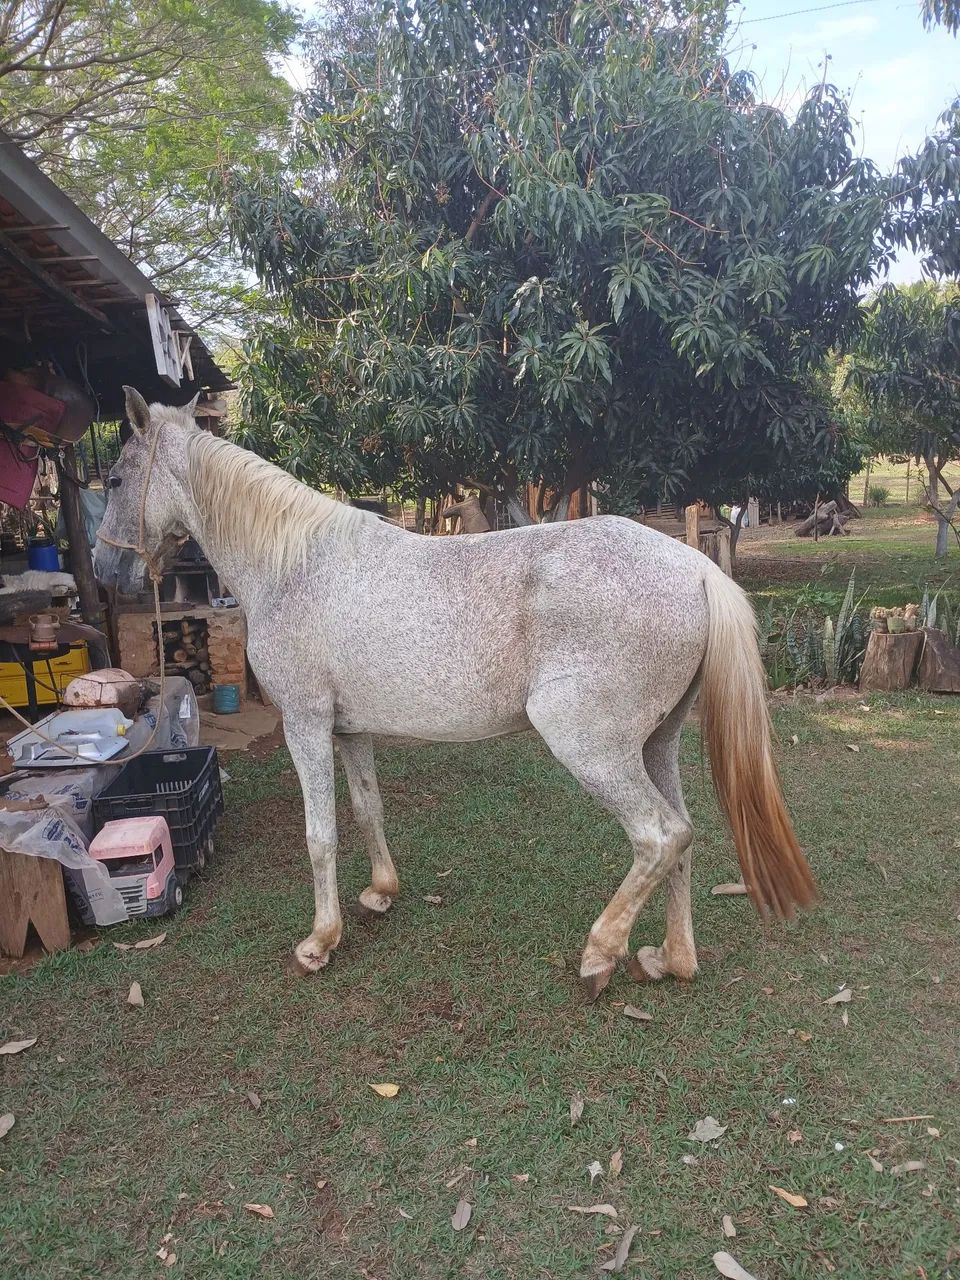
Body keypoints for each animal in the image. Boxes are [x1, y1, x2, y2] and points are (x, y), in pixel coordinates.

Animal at [94, 389, 815, 999]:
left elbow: (320, 834)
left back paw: (600, 953)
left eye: (116, 478)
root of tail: (694, 568)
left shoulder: (305, 723)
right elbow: (368, 811)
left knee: (659, 837)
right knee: (685, 837)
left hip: (590, 746)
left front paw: (320, 941)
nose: (106, 570)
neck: (294, 566)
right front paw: (381, 893)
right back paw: (669, 959)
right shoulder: (348, 729)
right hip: (656, 744)